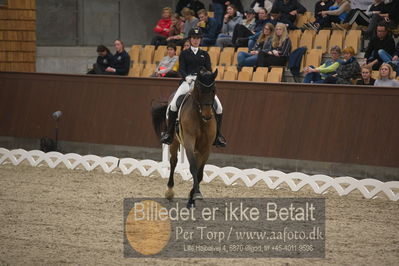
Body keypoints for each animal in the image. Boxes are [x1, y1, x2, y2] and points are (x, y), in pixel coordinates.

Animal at [152, 68, 219, 208]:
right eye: (199, 90)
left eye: (214, 90)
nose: (207, 116)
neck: (200, 118)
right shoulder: (189, 142)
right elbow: (192, 167)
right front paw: (196, 194)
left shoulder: (206, 148)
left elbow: (199, 173)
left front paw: (192, 197)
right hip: (174, 141)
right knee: (173, 162)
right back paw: (169, 191)